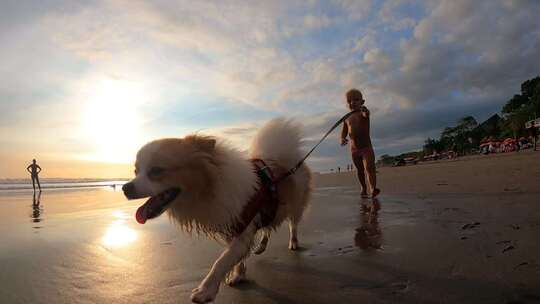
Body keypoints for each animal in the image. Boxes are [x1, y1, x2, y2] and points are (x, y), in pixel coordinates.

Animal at [120, 117, 310, 302]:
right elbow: (235, 258)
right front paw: (238, 275)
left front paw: (205, 290)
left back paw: (293, 242)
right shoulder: (233, 228)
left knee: (292, 225)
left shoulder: (242, 230)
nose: (125, 187)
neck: (209, 188)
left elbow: (221, 261)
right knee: (268, 227)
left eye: (156, 171)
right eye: (136, 171)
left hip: (295, 206)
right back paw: (261, 246)